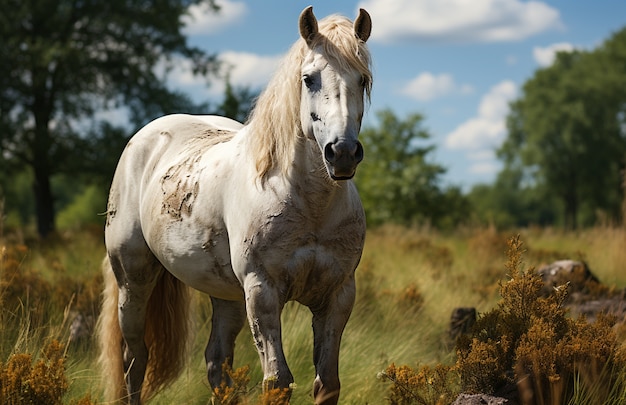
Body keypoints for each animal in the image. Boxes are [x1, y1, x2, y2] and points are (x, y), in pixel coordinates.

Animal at [96, 7, 370, 404]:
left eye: (362, 80)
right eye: (309, 79)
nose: (343, 153)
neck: (310, 206)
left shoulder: (337, 296)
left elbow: (327, 384)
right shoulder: (262, 291)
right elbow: (277, 381)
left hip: (226, 295)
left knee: (216, 364)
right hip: (134, 280)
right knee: (135, 360)